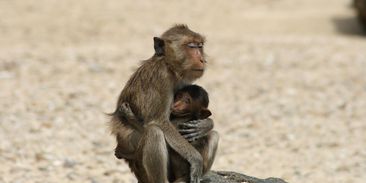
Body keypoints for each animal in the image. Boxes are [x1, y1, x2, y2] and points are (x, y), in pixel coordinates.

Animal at [110, 24, 210, 183]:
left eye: (200, 46)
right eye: (191, 46)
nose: (202, 60)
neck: (168, 65)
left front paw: (206, 125)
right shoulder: (162, 78)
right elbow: (160, 121)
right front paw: (196, 159)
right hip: (137, 162)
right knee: (154, 132)